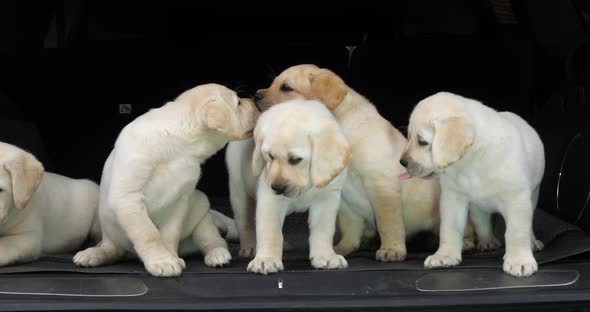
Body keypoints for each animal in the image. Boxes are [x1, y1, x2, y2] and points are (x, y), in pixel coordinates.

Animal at [74, 83, 260, 276]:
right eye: (238, 103)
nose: (255, 101)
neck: (179, 145)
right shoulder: (128, 197)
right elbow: (149, 234)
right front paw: (162, 261)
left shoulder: (180, 201)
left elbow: (169, 234)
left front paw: (170, 258)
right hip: (111, 231)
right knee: (109, 248)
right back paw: (91, 254)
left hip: (201, 211)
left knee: (213, 240)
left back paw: (218, 255)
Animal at [231, 99, 352, 272]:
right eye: (269, 156)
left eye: (296, 160)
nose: (277, 188)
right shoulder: (269, 199)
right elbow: (271, 231)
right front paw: (266, 259)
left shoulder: (327, 199)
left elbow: (323, 230)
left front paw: (326, 256)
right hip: (238, 190)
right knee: (244, 222)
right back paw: (249, 246)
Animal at [400, 91, 548, 276]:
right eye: (409, 137)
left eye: (422, 141)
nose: (402, 162)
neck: (470, 162)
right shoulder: (452, 200)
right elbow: (449, 229)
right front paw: (444, 255)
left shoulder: (517, 200)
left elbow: (517, 232)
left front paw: (519, 260)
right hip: (478, 208)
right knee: (482, 222)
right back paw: (487, 241)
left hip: (533, 197)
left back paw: (532, 242)